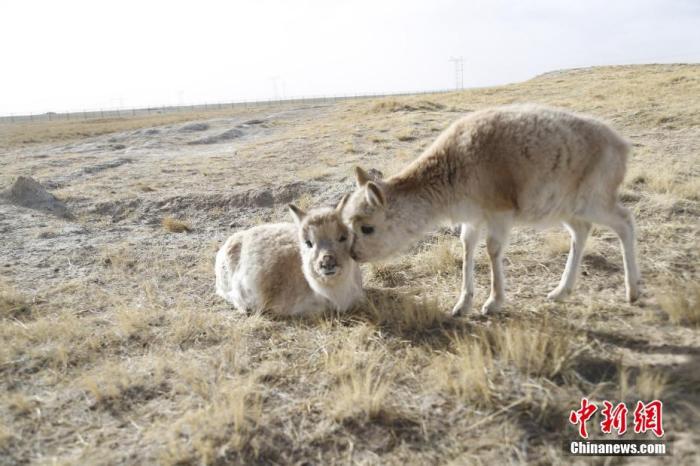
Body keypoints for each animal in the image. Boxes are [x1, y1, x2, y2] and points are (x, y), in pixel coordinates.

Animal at [342, 105, 644, 314]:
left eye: (367, 228)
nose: (354, 255)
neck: (456, 163)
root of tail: (621, 144)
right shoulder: (473, 218)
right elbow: (467, 249)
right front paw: (462, 305)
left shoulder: (499, 212)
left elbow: (492, 249)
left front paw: (494, 302)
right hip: (568, 210)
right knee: (581, 232)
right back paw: (561, 291)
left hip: (594, 201)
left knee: (625, 221)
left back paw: (633, 291)